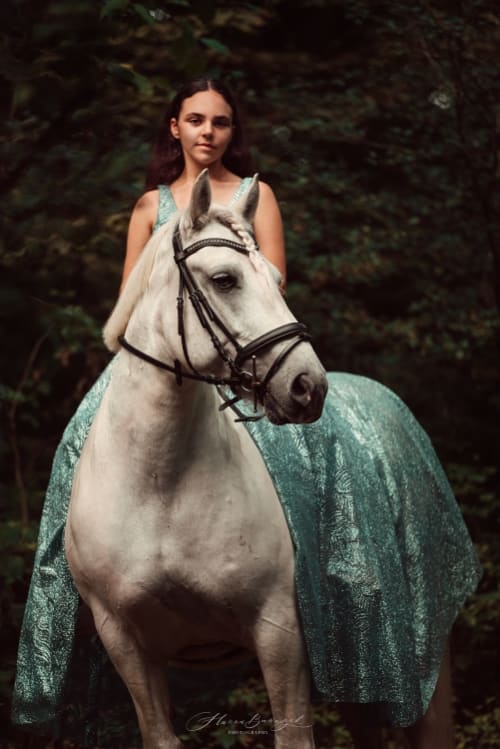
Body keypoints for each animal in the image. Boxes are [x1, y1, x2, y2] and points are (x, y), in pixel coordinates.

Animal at [64, 170, 328, 749]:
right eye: (226, 280)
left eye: (275, 280)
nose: (309, 387)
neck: (160, 482)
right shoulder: (123, 638)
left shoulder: (278, 626)